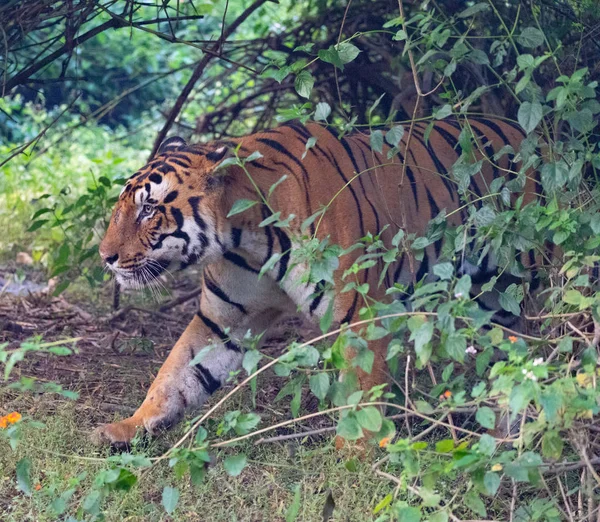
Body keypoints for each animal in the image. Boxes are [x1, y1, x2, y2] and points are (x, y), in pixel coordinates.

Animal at [94, 116, 540, 444]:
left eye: (149, 210)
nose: (106, 257)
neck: (246, 235)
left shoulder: (363, 312)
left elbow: (361, 395)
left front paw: (354, 459)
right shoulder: (224, 320)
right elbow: (175, 374)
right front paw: (127, 427)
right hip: (490, 300)